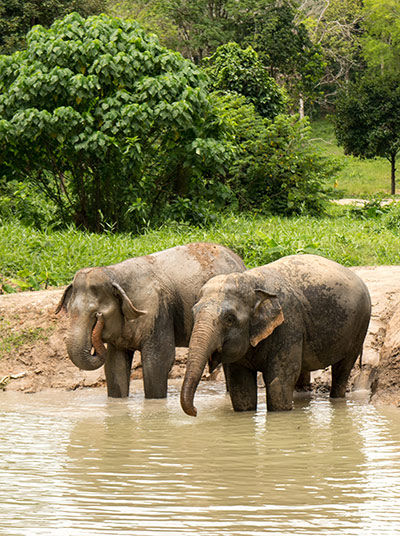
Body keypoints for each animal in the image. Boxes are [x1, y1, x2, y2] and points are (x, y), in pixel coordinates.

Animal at [55, 243, 244, 398]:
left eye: (96, 314)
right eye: (69, 311)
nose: (94, 343)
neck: (114, 273)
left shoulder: (158, 311)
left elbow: (158, 361)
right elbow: (115, 365)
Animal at [181, 254, 372, 414]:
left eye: (229, 318)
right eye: (194, 313)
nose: (196, 411)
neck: (253, 281)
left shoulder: (288, 324)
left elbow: (280, 378)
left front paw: (280, 413)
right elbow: (241, 383)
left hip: (360, 326)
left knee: (343, 368)